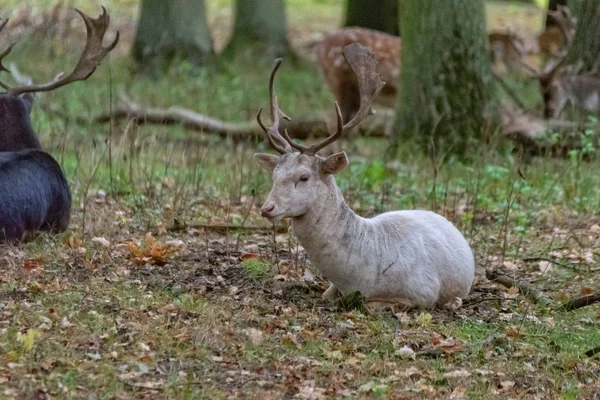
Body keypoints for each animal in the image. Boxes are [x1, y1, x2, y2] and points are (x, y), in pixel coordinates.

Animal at [253, 43, 474, 308]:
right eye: (274, 175)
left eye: (304, 177)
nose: (267, 208)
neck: (358, 275)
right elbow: (328, 295)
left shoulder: (423, 292)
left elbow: (372, 304)